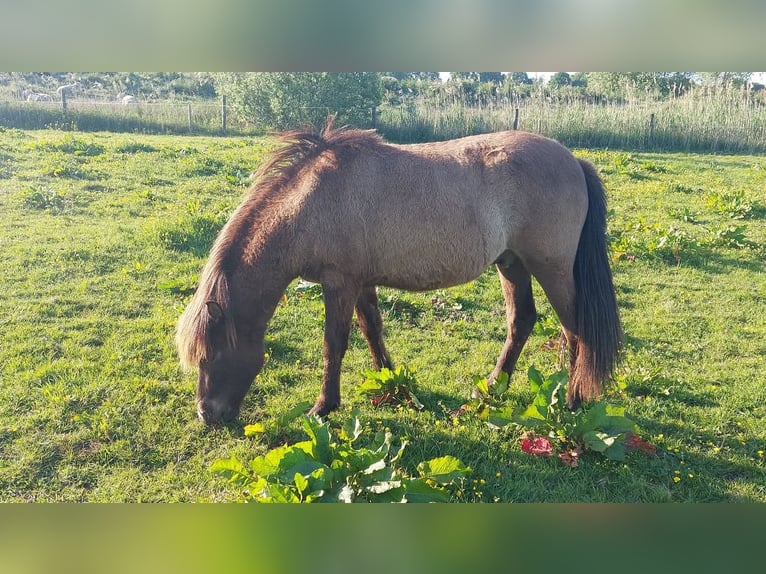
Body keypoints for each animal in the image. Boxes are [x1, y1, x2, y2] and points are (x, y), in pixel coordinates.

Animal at [176, 120, 622, 424]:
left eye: (210, 354)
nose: (206, 414)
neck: (311, 201)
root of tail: (574, 160)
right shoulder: (361, 283)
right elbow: (372, 329)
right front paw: (390, 380)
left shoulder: (339, 284)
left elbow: (333, 345)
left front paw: (323, 406)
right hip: (511, 264)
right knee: (522, 321)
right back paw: (490, 389)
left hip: (552, 269)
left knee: (575, 331)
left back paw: (574, 401)